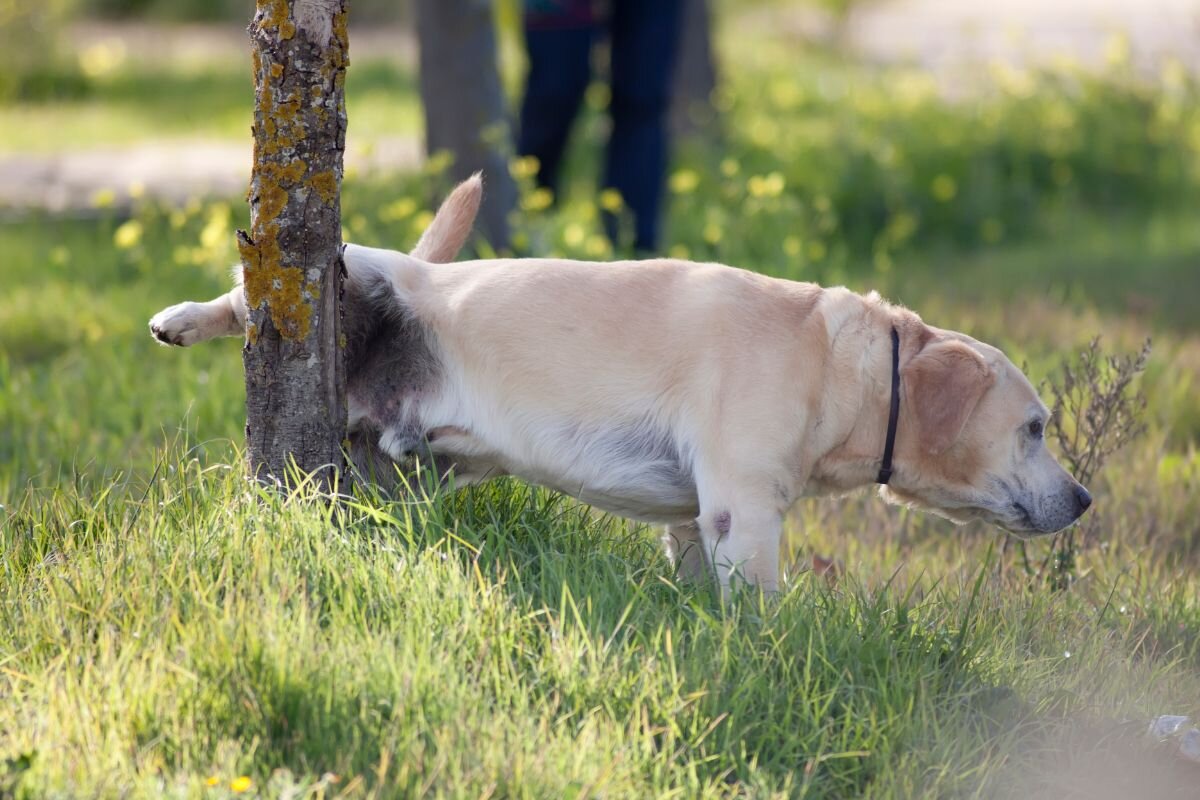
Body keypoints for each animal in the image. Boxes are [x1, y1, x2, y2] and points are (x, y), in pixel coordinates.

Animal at [150, 173, 1089, 587]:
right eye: (1035, 427)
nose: (1084, 501)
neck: (838, 365)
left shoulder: (696, 520)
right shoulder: (744, 510)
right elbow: (765, 608)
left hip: (401, 462)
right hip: (359, 275)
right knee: (249, 293)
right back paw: (182, 317)